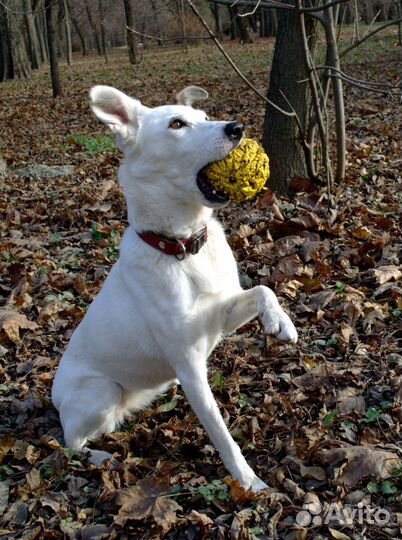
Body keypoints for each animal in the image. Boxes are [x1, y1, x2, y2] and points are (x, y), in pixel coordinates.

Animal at [51, 83, 296, 490]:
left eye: (204, 116)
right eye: (177, 124)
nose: (236, 128)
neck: (182, 248)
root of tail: (54, 395)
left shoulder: (223, 314)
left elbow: (264, 289)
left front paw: (281, 321)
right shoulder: (189, 364)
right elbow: (219, 430)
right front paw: (248, 481)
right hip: (101, 391)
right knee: (70, 442)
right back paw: (99, 456)